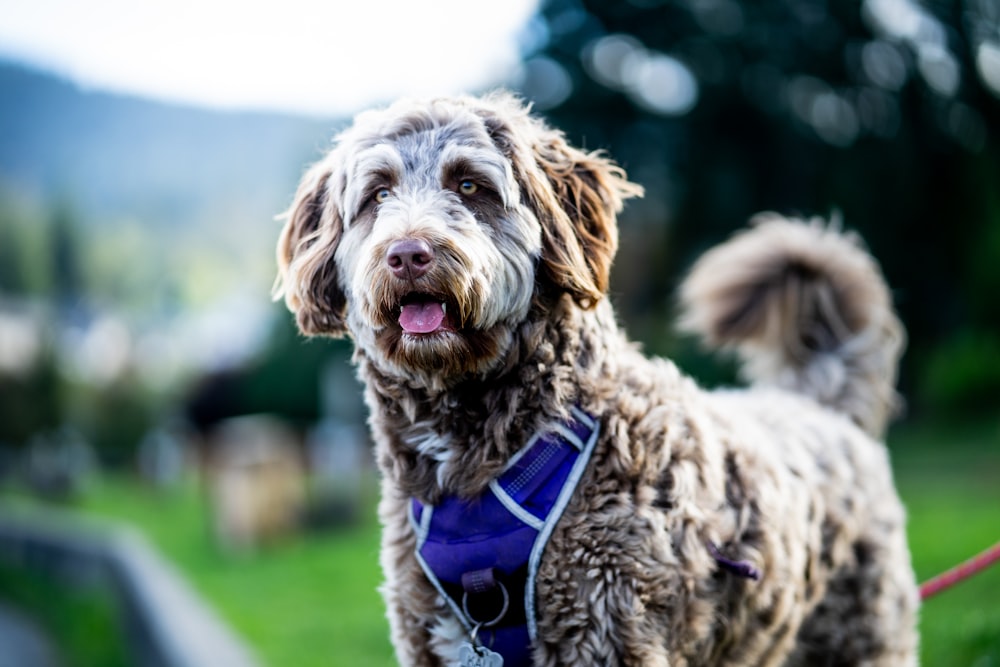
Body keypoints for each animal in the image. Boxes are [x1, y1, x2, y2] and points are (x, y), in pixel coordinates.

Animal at [272, 91, 916, 664]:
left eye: (470, 186)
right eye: (378, 194)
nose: (408, 254)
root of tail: (820, 405)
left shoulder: (607, 626)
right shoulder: (426, 634)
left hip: (862, 636)